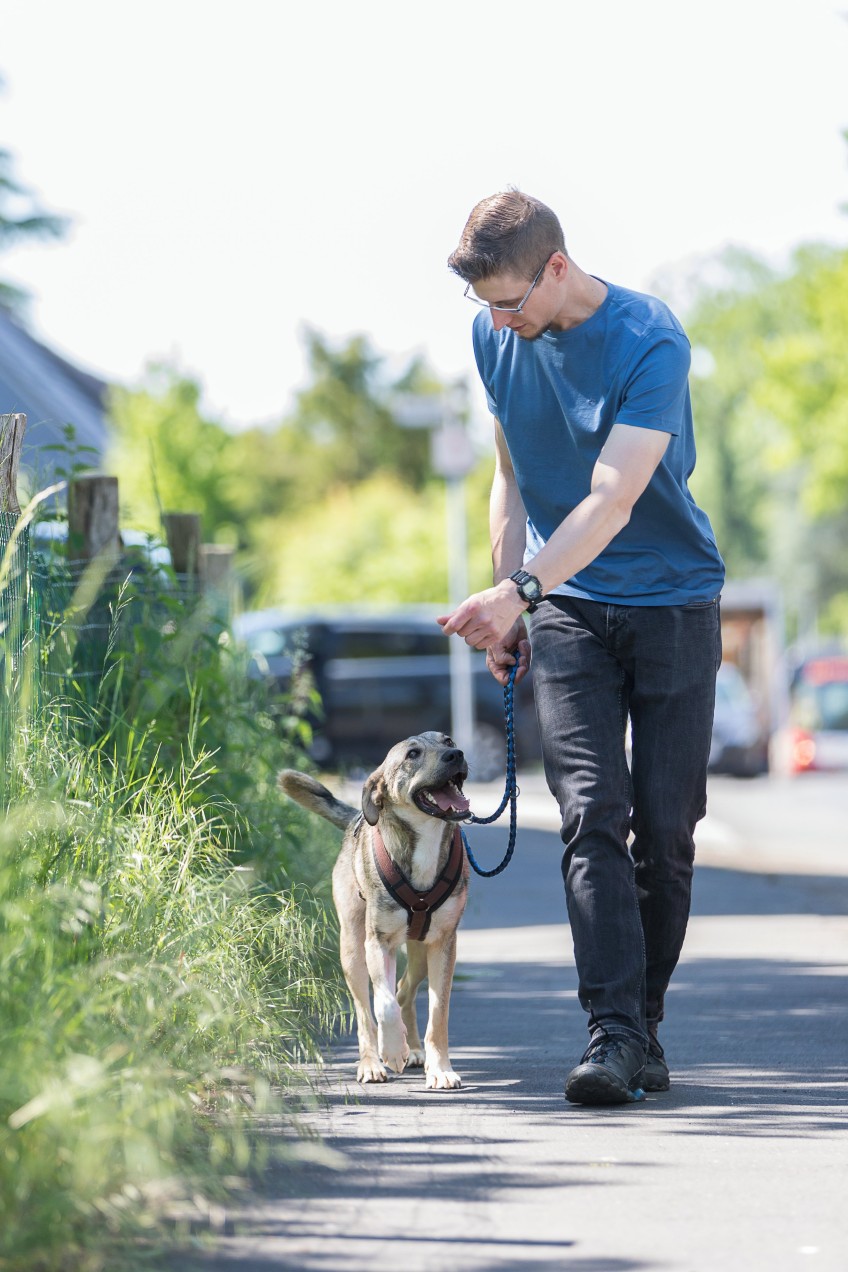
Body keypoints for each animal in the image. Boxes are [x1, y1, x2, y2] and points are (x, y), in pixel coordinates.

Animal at [282, 737, 475, 1093]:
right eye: (412, 754)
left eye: (448, 741)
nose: (456, 754)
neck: (425, 839)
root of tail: (357, 817)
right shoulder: (378, 942)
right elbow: (382, 1005)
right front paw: (393, 1050)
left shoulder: (443, 944)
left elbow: (437, 1014)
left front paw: (440, 1069)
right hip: (352, 950)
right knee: (365, 1010)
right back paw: (372, 1062)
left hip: (420, 951)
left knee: (403, 989)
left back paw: (415, 1050)